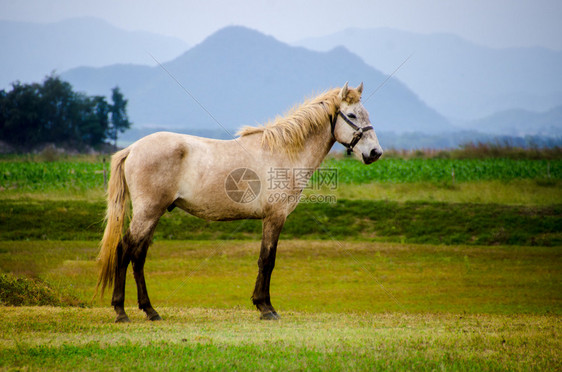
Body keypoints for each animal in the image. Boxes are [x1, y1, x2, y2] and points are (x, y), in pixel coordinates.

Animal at [96, 83, 382, 322]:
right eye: (352, 115)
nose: (375, 153)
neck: (284, 153)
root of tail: (132, 149)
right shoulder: (275, 217)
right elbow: (267, 260)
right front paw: (266, 308)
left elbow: (265, 259)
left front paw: (262, 305)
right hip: (147, 212)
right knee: (124, 250)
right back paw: (121, 311)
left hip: (153, 214)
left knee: (138, 256)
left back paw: (150, 311)